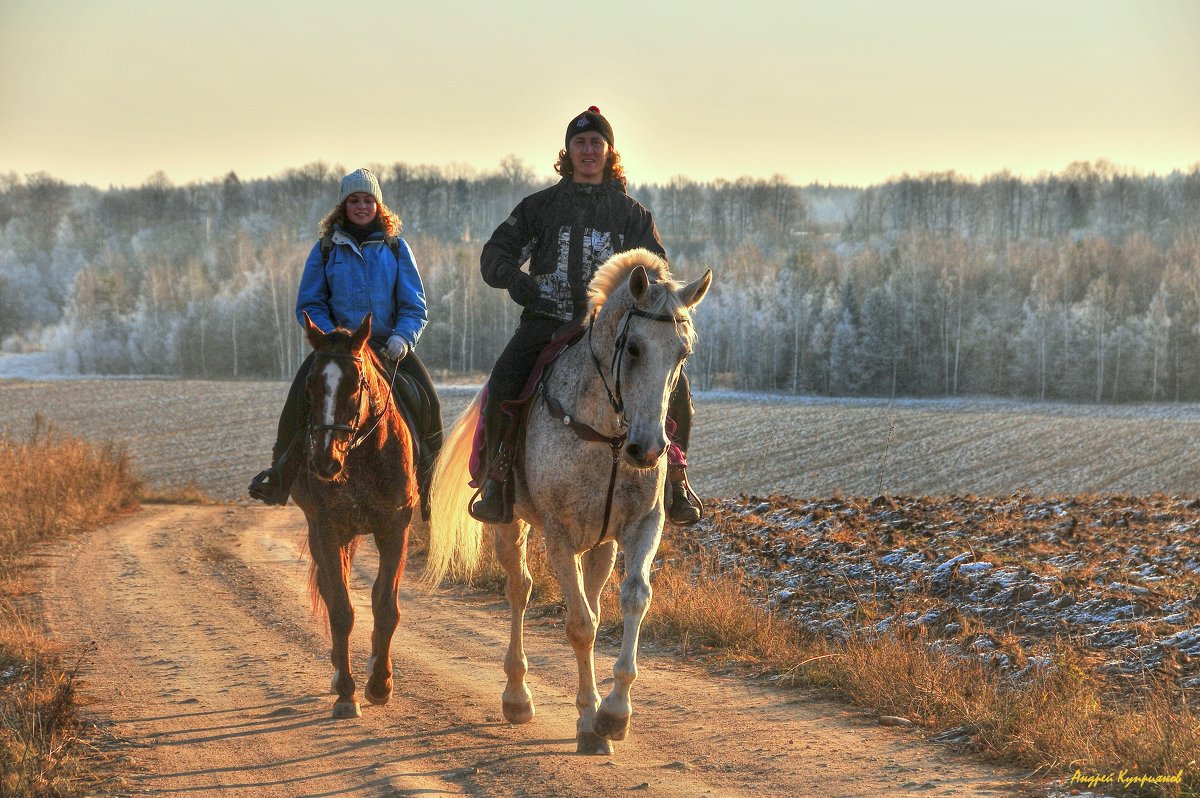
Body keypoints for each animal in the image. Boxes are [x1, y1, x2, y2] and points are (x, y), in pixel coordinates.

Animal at [291, 309, 420, 715]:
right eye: (311, 385)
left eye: (355, 383)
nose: (325, 461)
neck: (362, 456)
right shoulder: (327, 529)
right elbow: (341, 608)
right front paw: (347, 692)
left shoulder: (395, 527)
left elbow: (385, 605)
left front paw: (380, 682)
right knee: (331, 591)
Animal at [427, 250, 705, 753]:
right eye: (634, 348)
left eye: (683, 354)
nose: (649, 449)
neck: (608, 436)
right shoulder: (559, 535)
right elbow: (579, 624)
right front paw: (592, 720)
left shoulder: (642, 525)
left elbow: (632, 598)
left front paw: (613, 712)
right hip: (511, 524)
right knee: (520, 589)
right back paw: (517, 697)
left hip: (602, 543)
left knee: (591, 596)